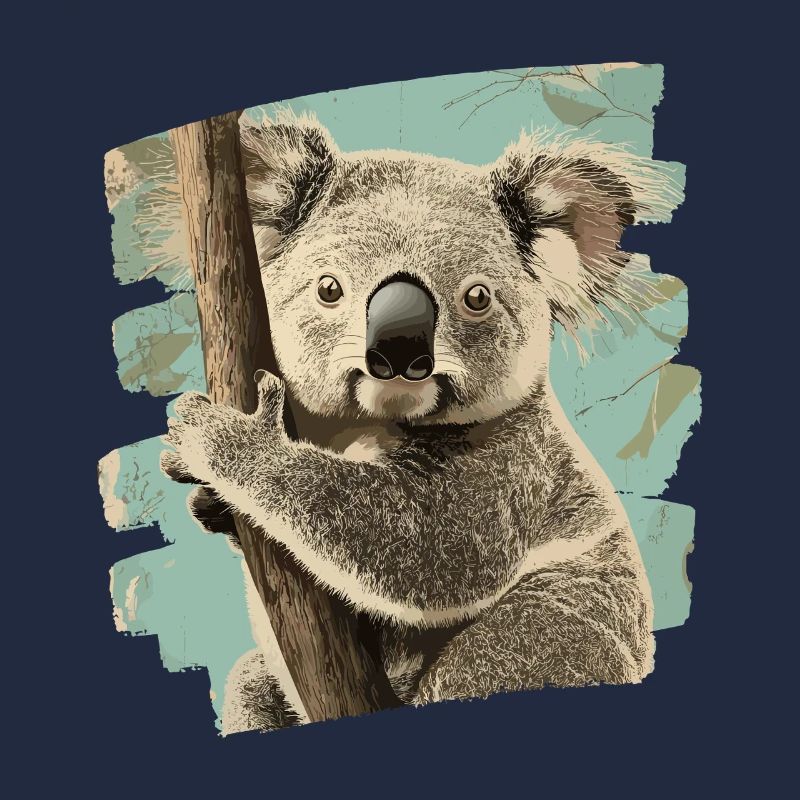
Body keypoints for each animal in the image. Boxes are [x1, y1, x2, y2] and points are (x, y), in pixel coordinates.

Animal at [160, 112, 678, 731]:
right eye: (329, 289)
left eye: (477, 297)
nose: (399, 350)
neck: (361, 427)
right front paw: (202, 493)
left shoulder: (513, 464)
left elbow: (430, 547)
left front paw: (228, 439)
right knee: (251, 681)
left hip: (549, 640)